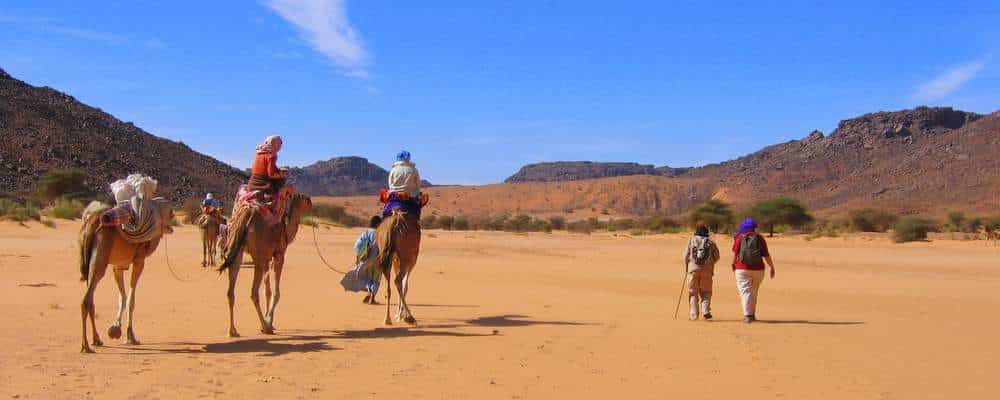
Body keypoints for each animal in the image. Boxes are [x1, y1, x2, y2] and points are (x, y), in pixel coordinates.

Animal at [76, 200, 174, 354]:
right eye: (169, 212)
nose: (173, 214)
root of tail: (91, 222)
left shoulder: (118, 265)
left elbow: (122, 297)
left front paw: (115, 329)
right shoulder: (139, 259)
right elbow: (131, 300)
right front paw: (131, 337)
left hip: (87, 261)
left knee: (90, 299)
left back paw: (97, 339)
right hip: (100, 257)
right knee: (86, 299)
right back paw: (85, 346)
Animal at [217, 192, 310, 336]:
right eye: (304, 197)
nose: (311, 202)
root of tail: (247, 214)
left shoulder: (267, 258)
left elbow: (267, 290)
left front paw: (270, 321)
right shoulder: (278, 255)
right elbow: (276, 292)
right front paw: (269, 322)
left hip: (236, 249)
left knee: (230, 291)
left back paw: (232, 331)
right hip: (258, 256)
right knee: (253, 292)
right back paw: (264, 327)